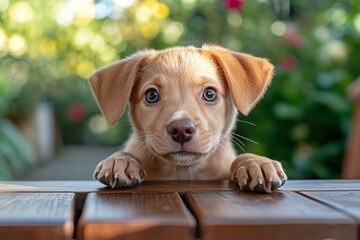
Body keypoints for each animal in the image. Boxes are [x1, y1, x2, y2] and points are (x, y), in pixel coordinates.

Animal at [89, 44, 286, 193]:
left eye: (210, 93)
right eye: (152, 95)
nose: (181, 130)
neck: (183, 172)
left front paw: (255, 162)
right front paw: (121, 160)